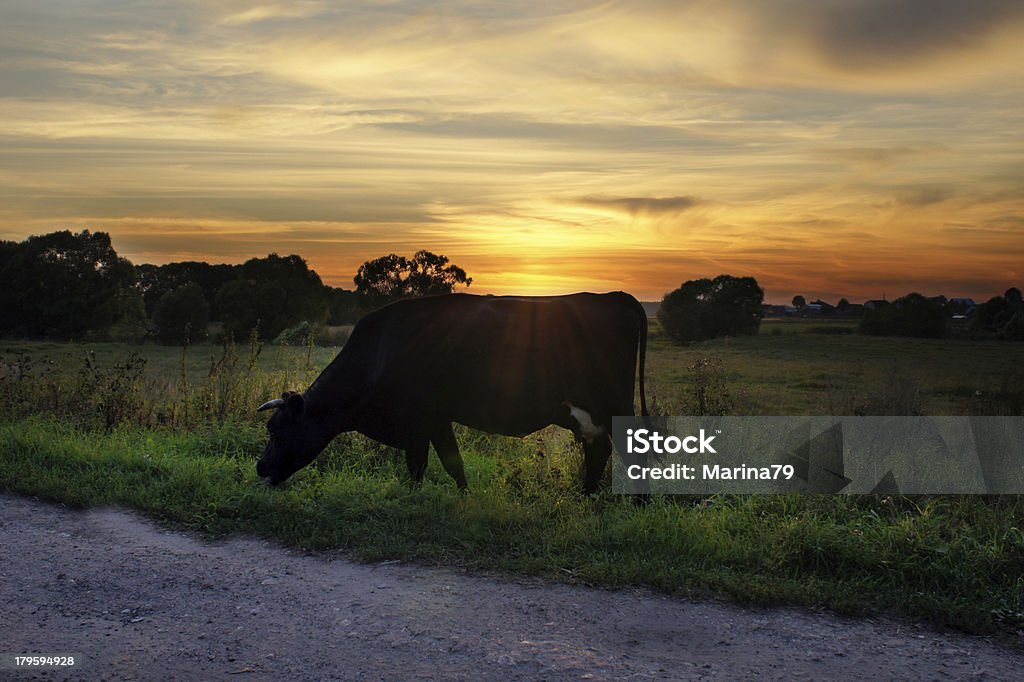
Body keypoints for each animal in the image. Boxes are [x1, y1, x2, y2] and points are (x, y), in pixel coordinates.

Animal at [253, 288, 647, 491]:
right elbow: (451, 462)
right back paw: (586, 497)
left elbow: (420, 466)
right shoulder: (437, 419)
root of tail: (612, 295)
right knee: (599, 453)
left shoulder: (418, 420)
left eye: (276, 430)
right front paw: (464, 497)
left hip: (614, 406)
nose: (259, 467)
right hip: (589, 414)